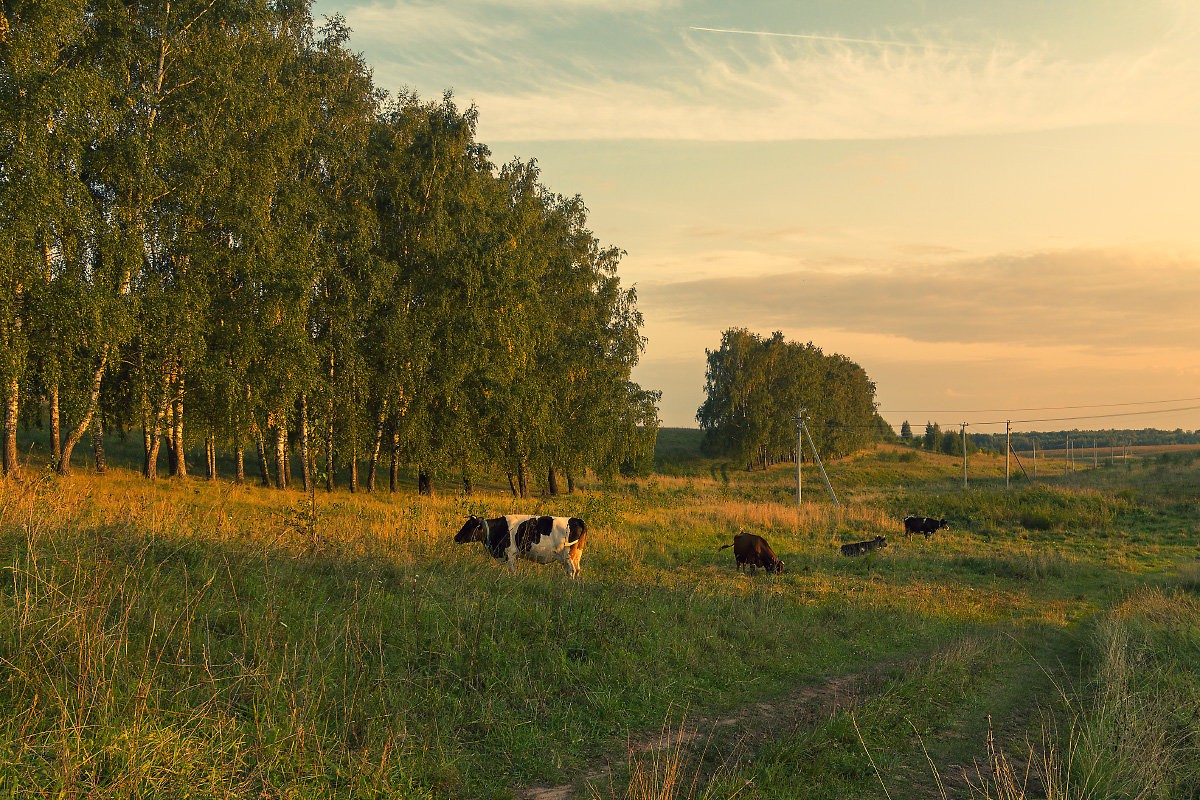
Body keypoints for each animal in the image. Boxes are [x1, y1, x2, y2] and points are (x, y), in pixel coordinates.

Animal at [451, 515, 588, 578]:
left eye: (470, 526)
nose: (456, 537)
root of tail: (577, 520)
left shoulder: (510, 554)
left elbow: (512, 570)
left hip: (567, 555)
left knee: (571, 570)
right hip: (577, 554)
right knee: (577, 570)